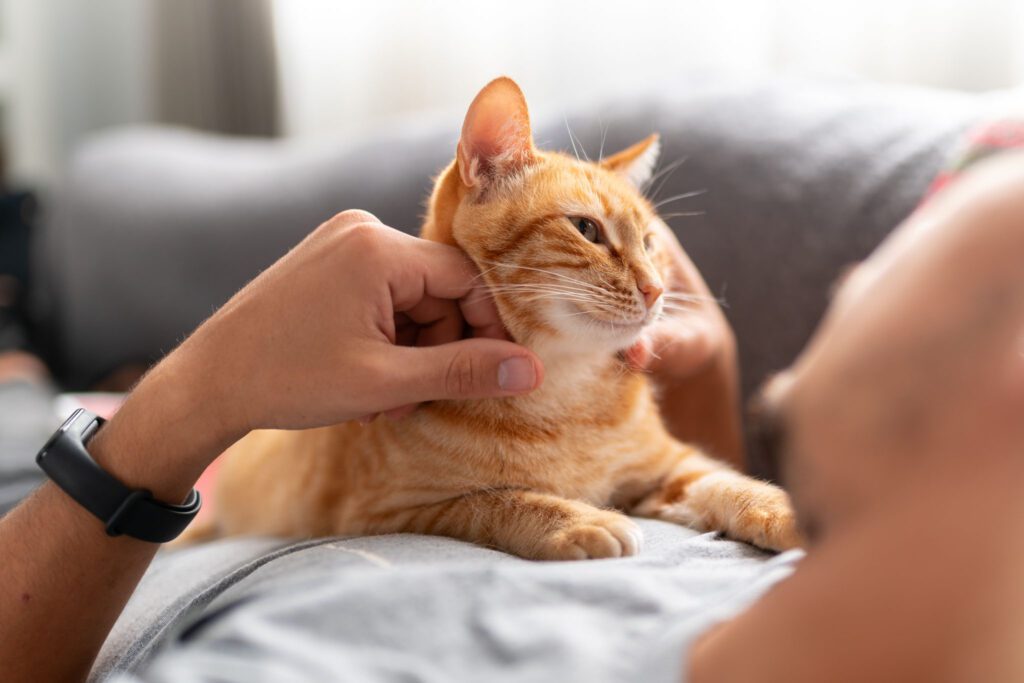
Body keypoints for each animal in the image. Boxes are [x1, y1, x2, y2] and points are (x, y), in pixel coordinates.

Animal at [195, 78, 802, 561]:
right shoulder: (392, 512)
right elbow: (497, 501)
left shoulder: (668, 470)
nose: (655, 290)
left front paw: (785, 509)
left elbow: (728, 481)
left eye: (652, 244)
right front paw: (579, 519)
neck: (566, 399)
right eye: (587, 229)